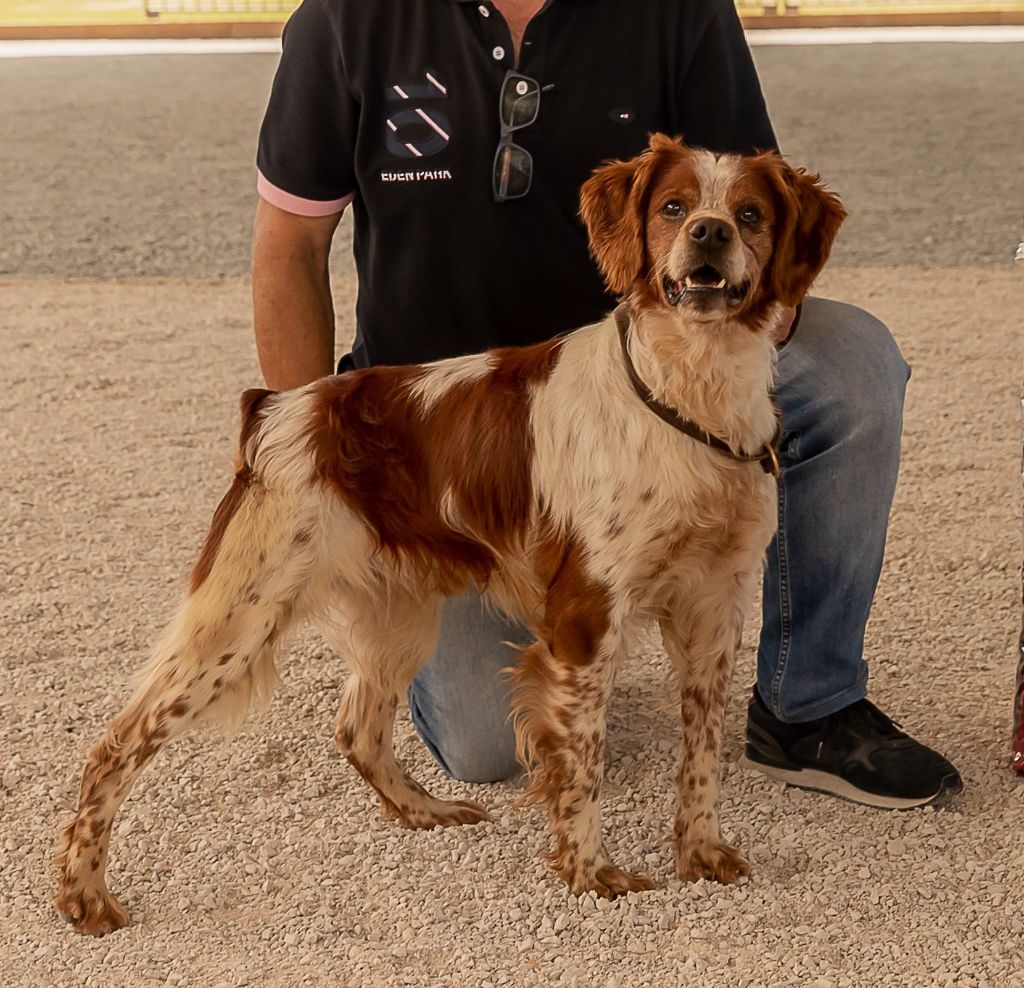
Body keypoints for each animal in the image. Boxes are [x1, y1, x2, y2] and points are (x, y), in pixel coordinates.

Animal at [54, 133, 839, 933]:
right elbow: (582, 763)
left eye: (749, 213)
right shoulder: (586, 615)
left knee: (356, 726)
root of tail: (276, 410)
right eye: (675, 207)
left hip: (398, 616)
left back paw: (422, 810)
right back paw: (86, 894)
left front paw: (701, 851)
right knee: (114, 744)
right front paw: (590, 873)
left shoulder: (716, 606)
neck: (691, 390)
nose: (709, 234)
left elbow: (702, 750)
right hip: (238, 620)